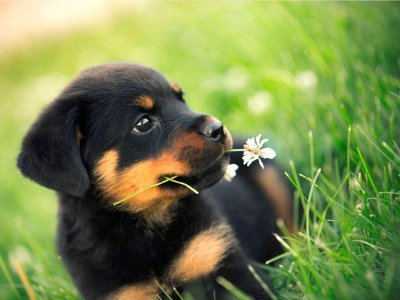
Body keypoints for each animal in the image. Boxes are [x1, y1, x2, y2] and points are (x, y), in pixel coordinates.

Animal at [17, 63, 292, 300]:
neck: (146, 224)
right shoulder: (123, 293)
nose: (217, 128)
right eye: (143, 123)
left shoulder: (220, 259)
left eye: (181, 98)